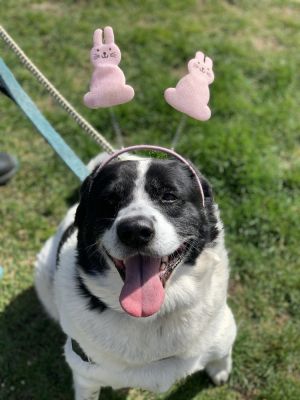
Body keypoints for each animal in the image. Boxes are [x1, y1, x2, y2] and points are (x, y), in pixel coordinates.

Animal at [35, 153, 237, 400]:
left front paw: (220, 369)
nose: (134, 231)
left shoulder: (224, 329)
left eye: (169, 196)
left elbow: (222, 352)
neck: (152, 317)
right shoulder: (85, 373)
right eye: (109, 200)